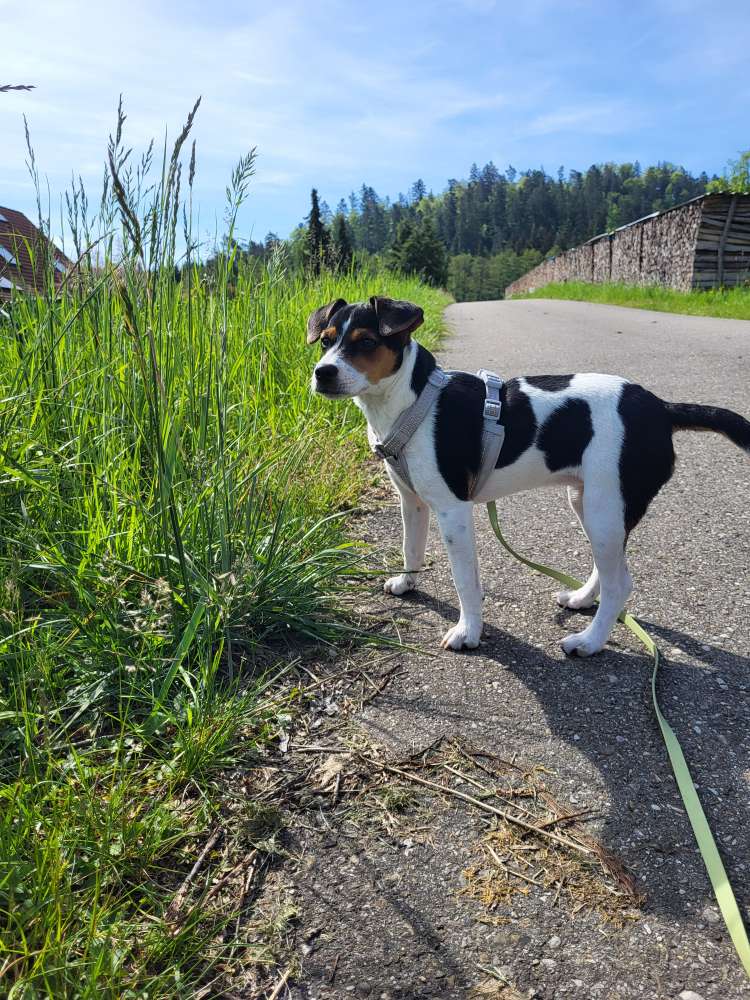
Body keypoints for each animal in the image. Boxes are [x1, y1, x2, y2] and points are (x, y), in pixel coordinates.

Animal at [306, 296, 750, 656]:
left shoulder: (453, 511)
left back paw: (589, 641)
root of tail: (662, 408)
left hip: (607, 506)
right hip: (591, 504)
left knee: (621, 583)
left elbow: (465, 580)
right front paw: (406, 583)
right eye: (326, 341)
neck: (409, 402)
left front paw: (468, 632)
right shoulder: (412, 500)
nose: (322, 372)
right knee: (610, 569)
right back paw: (582, 600)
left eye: (366, 342)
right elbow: (410, 547)